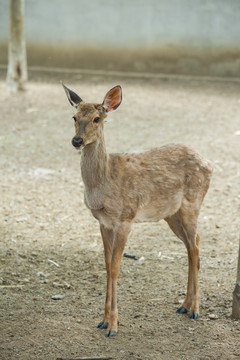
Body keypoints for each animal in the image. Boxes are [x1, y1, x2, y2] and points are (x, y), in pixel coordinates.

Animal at [62, 83, 214, 338]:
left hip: (193, 201)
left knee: (194, 247)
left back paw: (195, 309)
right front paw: (102, 321)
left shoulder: (126, 217)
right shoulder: (103, 222)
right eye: (74, 117)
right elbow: (106, 265)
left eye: (97, 118)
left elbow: (115, 267)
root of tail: (209, 163)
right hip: (171, 214)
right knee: (194, 243)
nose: (77, 140)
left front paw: (113, 326)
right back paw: (183, 305)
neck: (103, 185)